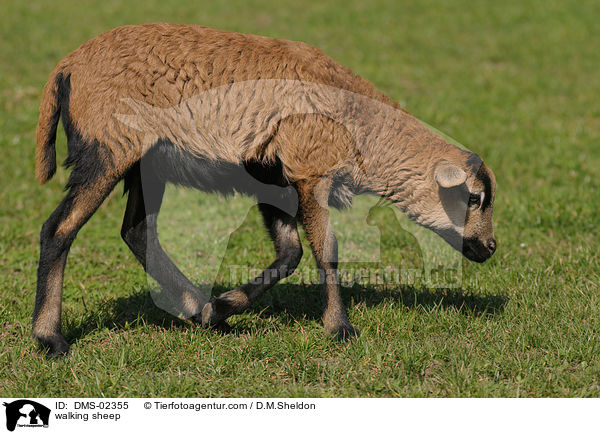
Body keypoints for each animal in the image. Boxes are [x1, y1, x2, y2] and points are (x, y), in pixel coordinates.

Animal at [31, 22, 496, 358]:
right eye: (473, 197)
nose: (490, 248)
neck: (362, 125)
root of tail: (67, 67)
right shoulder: (309, 173)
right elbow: (326, 251)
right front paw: (340, 328)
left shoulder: (275, 181)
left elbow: (290, 254)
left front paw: (223, 306)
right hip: (108, 149)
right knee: (59, 230)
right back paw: (50, 339)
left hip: (148, 163)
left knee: (137, 231)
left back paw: (198, 310)